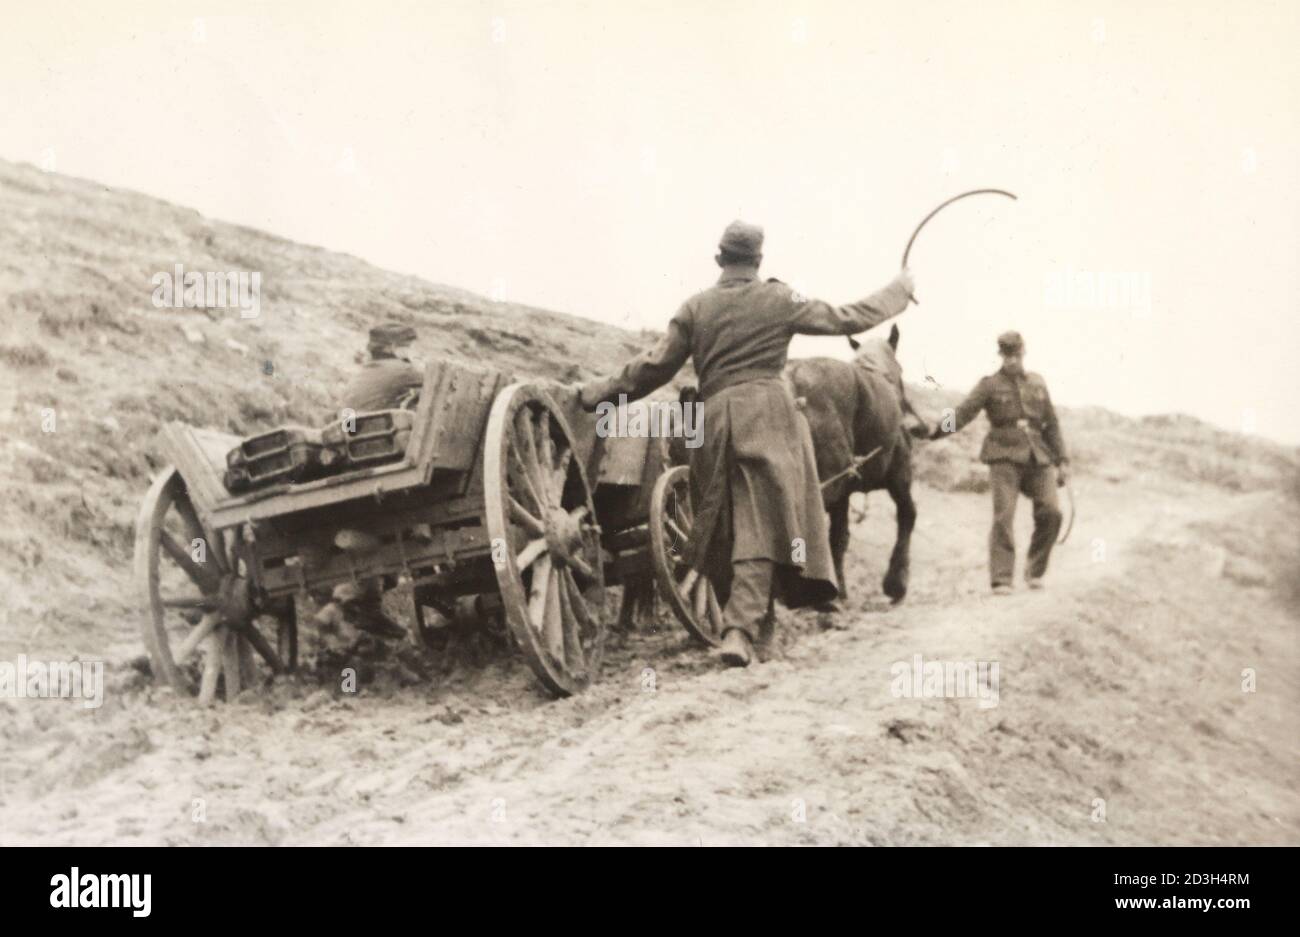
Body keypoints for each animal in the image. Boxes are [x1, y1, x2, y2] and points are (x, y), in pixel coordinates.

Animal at [780, 323, 925, 605]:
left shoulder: (844, 492)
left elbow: (839, 537)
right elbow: (907, 515)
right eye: (901, 369)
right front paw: (896, 583)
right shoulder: (899, 476)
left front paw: (840, 589)